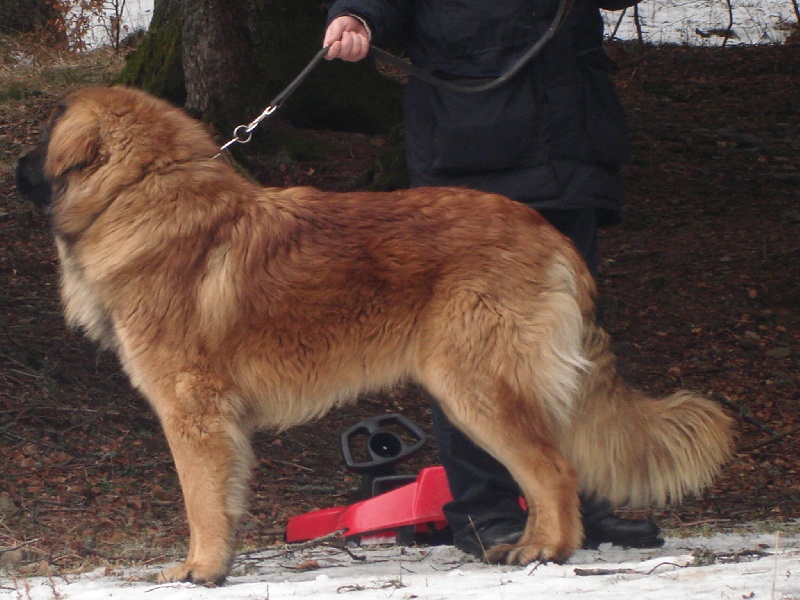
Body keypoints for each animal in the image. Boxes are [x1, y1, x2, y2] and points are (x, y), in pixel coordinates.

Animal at [15, 86, 736, 584]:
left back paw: (543, 551)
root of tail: (551, 234)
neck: (140, 192)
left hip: (476, 388)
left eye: (42, 139)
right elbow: (225, 495)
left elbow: (200, 499)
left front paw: (201, 568)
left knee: (553, 471)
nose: (11, 166)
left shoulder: (191, 411)